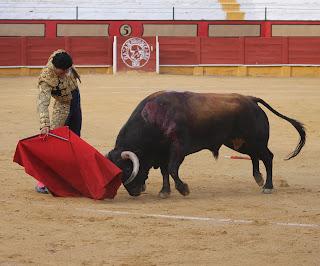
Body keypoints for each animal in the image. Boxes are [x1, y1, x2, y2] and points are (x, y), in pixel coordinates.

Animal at [107, 91, 304, 197]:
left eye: (127, 169)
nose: (134, 192)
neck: (154, 118)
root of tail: (250, 99)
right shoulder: (162, 152)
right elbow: (165, 171)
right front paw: (165, 191)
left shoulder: (178, 148)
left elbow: (172, 169)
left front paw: (184, 189)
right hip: (240, 142)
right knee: (255, 156)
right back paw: (258, 178)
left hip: (256, 140)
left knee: (268, 157)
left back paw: (267, 186)